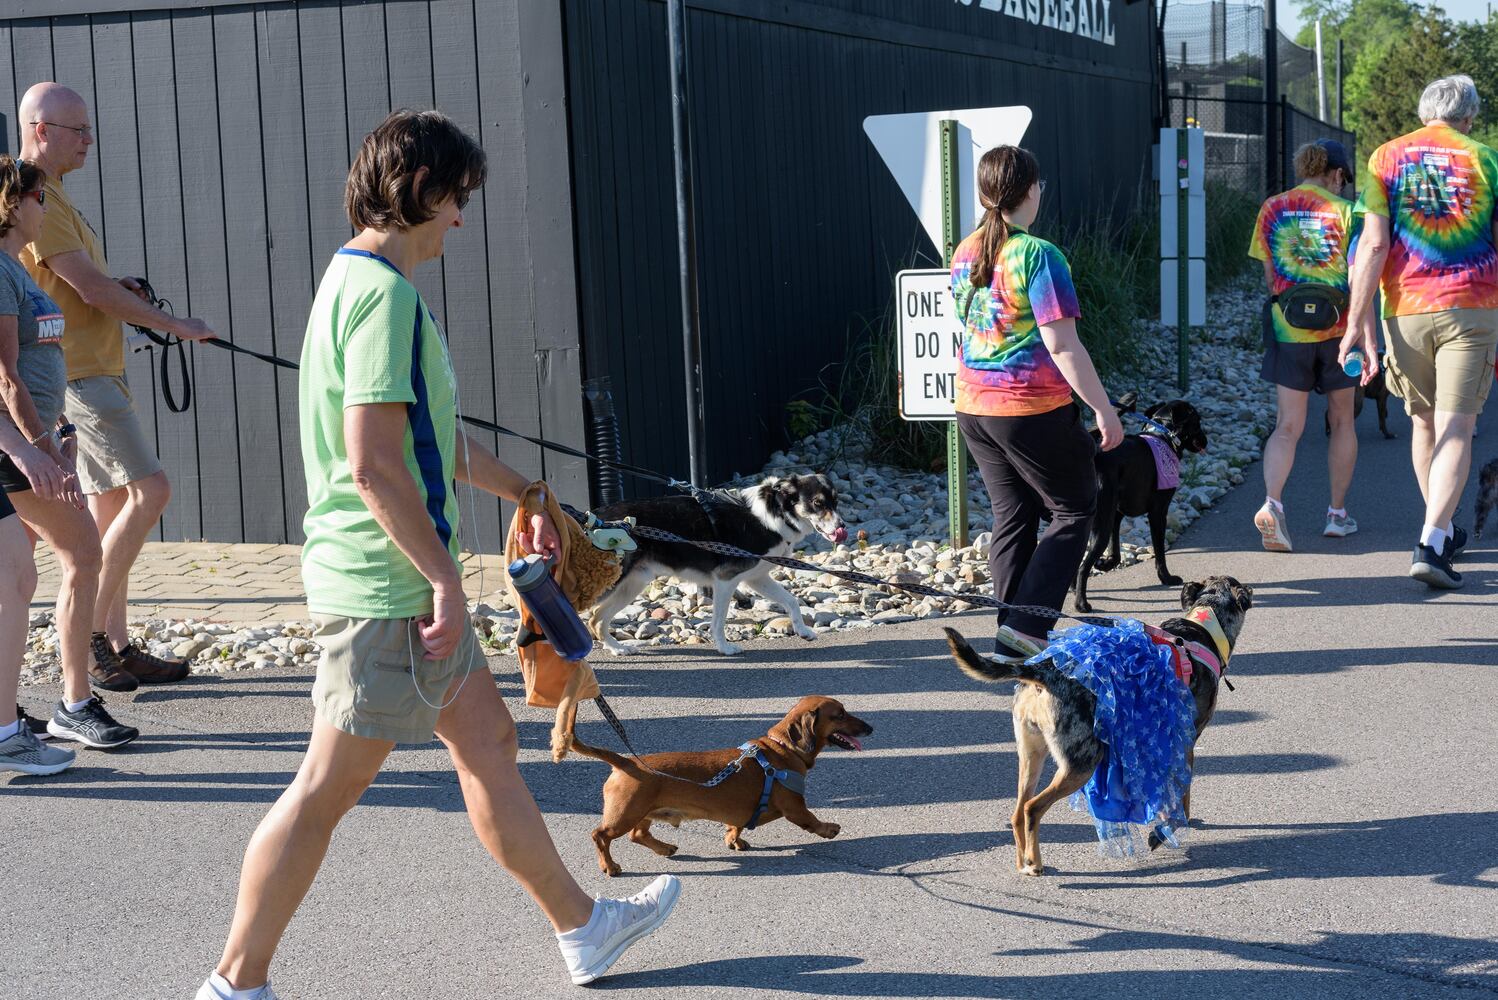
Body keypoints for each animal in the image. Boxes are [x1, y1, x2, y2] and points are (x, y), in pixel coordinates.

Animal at [584, 476, 850, 655]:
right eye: (817, 503)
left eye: (836, 502)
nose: (842, 526)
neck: (775, 514)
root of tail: (593, 517)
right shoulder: (726, 580)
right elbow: (719, 620)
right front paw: (724, 648)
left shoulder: (756, 578)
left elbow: (792, 601)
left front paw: (803, 631)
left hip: (632, 584)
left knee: (596, 619)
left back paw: (617, 648)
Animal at [1078, 395, 1204, 610]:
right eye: (1198, 422)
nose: (1206, 440)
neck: (1163, 435)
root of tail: (1095, 458)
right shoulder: (1158, 513)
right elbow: (1160, 552)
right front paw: (1166, 578)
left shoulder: (1117, 515)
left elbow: (1115, 550)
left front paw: (1106, 563)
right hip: (1100, 523)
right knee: (1082, 567)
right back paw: (1081, 603)